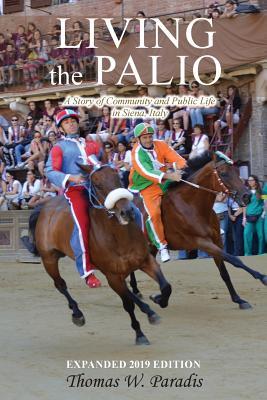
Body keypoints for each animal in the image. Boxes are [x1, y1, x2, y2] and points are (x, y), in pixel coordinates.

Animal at [26, 164, 173, 346]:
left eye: (118, 178)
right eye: (97, 184)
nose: (127, 212)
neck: (119, 237)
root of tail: (45, 206)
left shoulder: (145, 260)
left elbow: (165, 286)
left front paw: (158, 300)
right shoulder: (112, 275)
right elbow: (128, 304)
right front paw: (140, 334)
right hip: (49, 258)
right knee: (60, 285)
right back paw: (77, 313)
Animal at [132, 151, 267, 310]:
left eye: (237, 171)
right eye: (224, 173)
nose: (247, 196)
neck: (192, 205)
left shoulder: (217, 241)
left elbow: (224, 273)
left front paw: (238, 299)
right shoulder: (202, 242)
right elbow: (235, 259)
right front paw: (262, 277)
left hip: (150, 247)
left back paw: (150, 294)